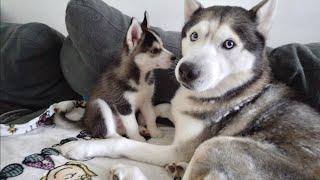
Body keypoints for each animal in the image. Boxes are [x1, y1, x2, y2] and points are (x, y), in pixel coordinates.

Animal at [84, 11, 175, 142]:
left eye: (163, 46)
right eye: (154, 50)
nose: (174, 57)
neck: (141, 77)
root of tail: (84, 123)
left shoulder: (146, 100)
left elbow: (151, 117)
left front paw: (154, 132)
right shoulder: (124, 106)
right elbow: (132, 125)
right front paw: (138, 139)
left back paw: (143, 129)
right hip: (100, 105)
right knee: (110, 133)